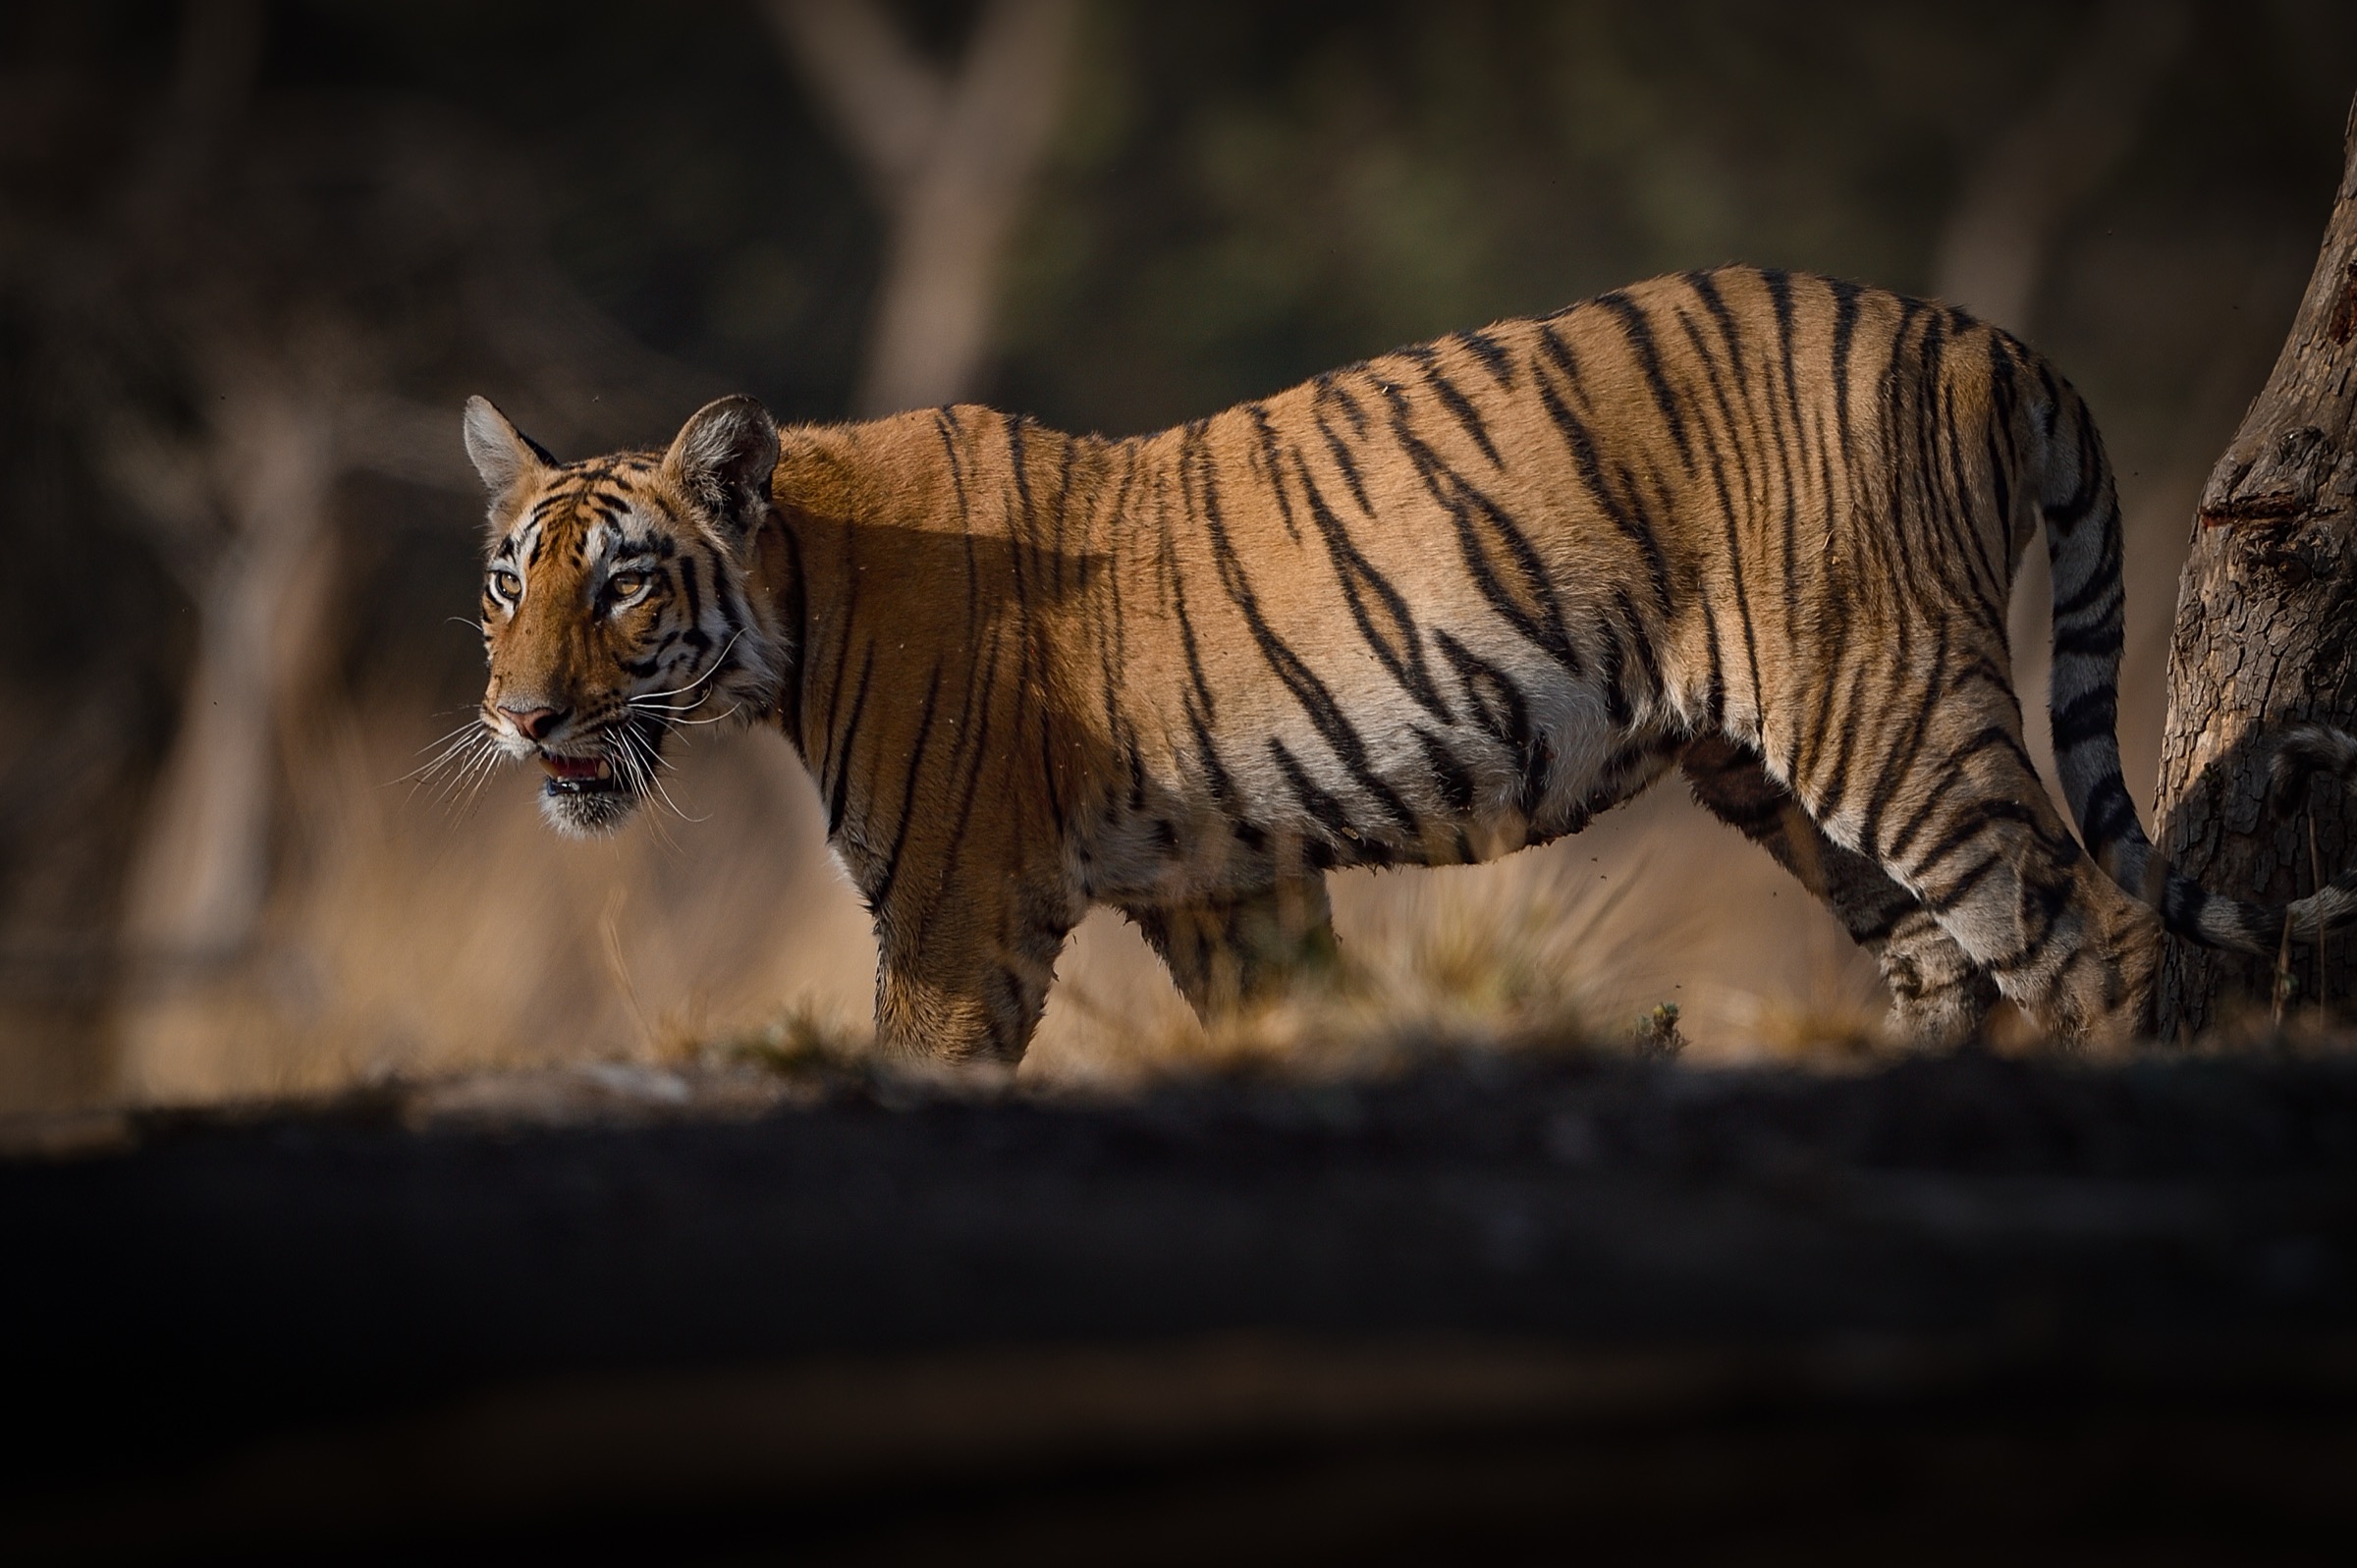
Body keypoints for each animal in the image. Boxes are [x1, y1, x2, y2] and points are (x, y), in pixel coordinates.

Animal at [461, 264, 2354, 1064]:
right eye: (503, 583)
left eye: (623, 586)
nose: (517, 717)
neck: (788, 593)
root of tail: (1971, 329)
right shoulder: (1226, 890)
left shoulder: (953, 908)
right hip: (1793, 776)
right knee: (1955, 964)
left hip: (1885, 709)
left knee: (2098, 947)